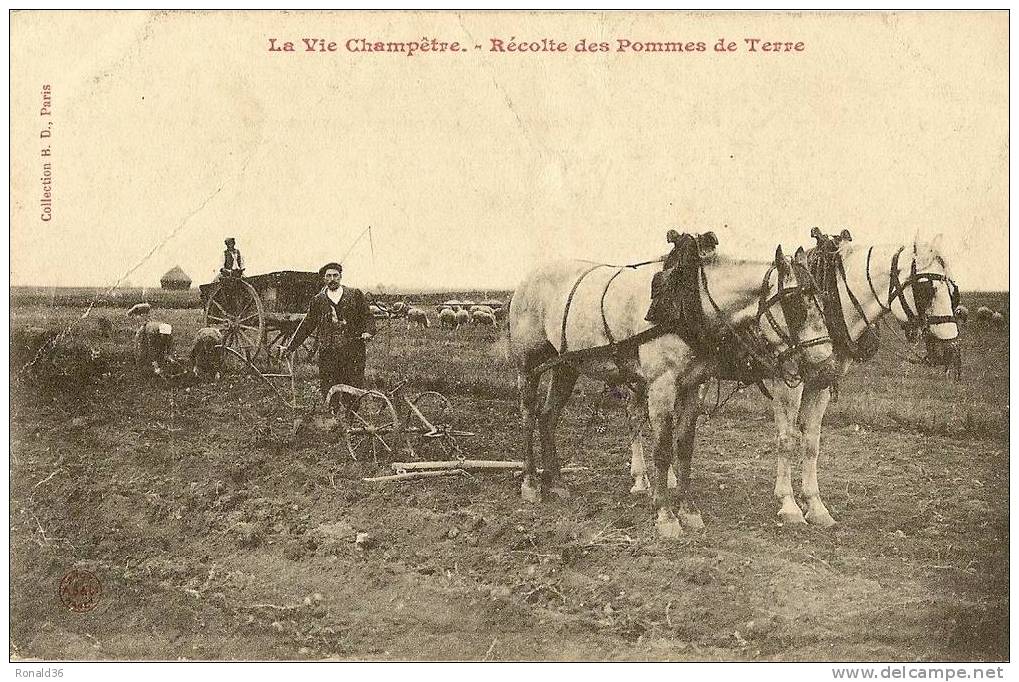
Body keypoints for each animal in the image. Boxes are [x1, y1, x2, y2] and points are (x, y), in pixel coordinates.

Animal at [509, 244, 835, 538]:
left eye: (822, 299)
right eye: (796, 304)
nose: (827, 367)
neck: (687, 304)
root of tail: (526, 280)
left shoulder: (692, 386)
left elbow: (684, 448)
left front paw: (689, 511)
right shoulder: (661, 386)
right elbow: (663, 450)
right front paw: (665, 515)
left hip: (566, 366)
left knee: (548, 418)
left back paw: (557, 484)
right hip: (528, 365)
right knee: (528, 416)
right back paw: (531, 484)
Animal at [770, 235, 961, 526]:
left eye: (952, 291)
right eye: (926, 288)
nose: (949, 349)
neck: (830, 303)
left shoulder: (821, 382)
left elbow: (811, 442)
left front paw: (815, 506)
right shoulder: (787, 381)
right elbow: (787, 439)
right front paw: (789, 505)